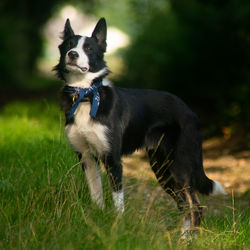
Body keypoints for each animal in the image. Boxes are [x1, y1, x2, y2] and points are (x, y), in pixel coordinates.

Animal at [53, 17, 227, 236]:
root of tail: (191, 112)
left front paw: (117, 227)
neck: (86, 94)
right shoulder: (86, 157)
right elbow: (96, 195)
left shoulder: (112, 159)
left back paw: (188, 239)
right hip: (162, 168)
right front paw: (96, 221)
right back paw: (181, 238)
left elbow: (118, 201)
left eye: (89, 48)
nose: (72, 54)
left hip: (179, 165)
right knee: (185, 205)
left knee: (195, 205)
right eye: (69, 45)